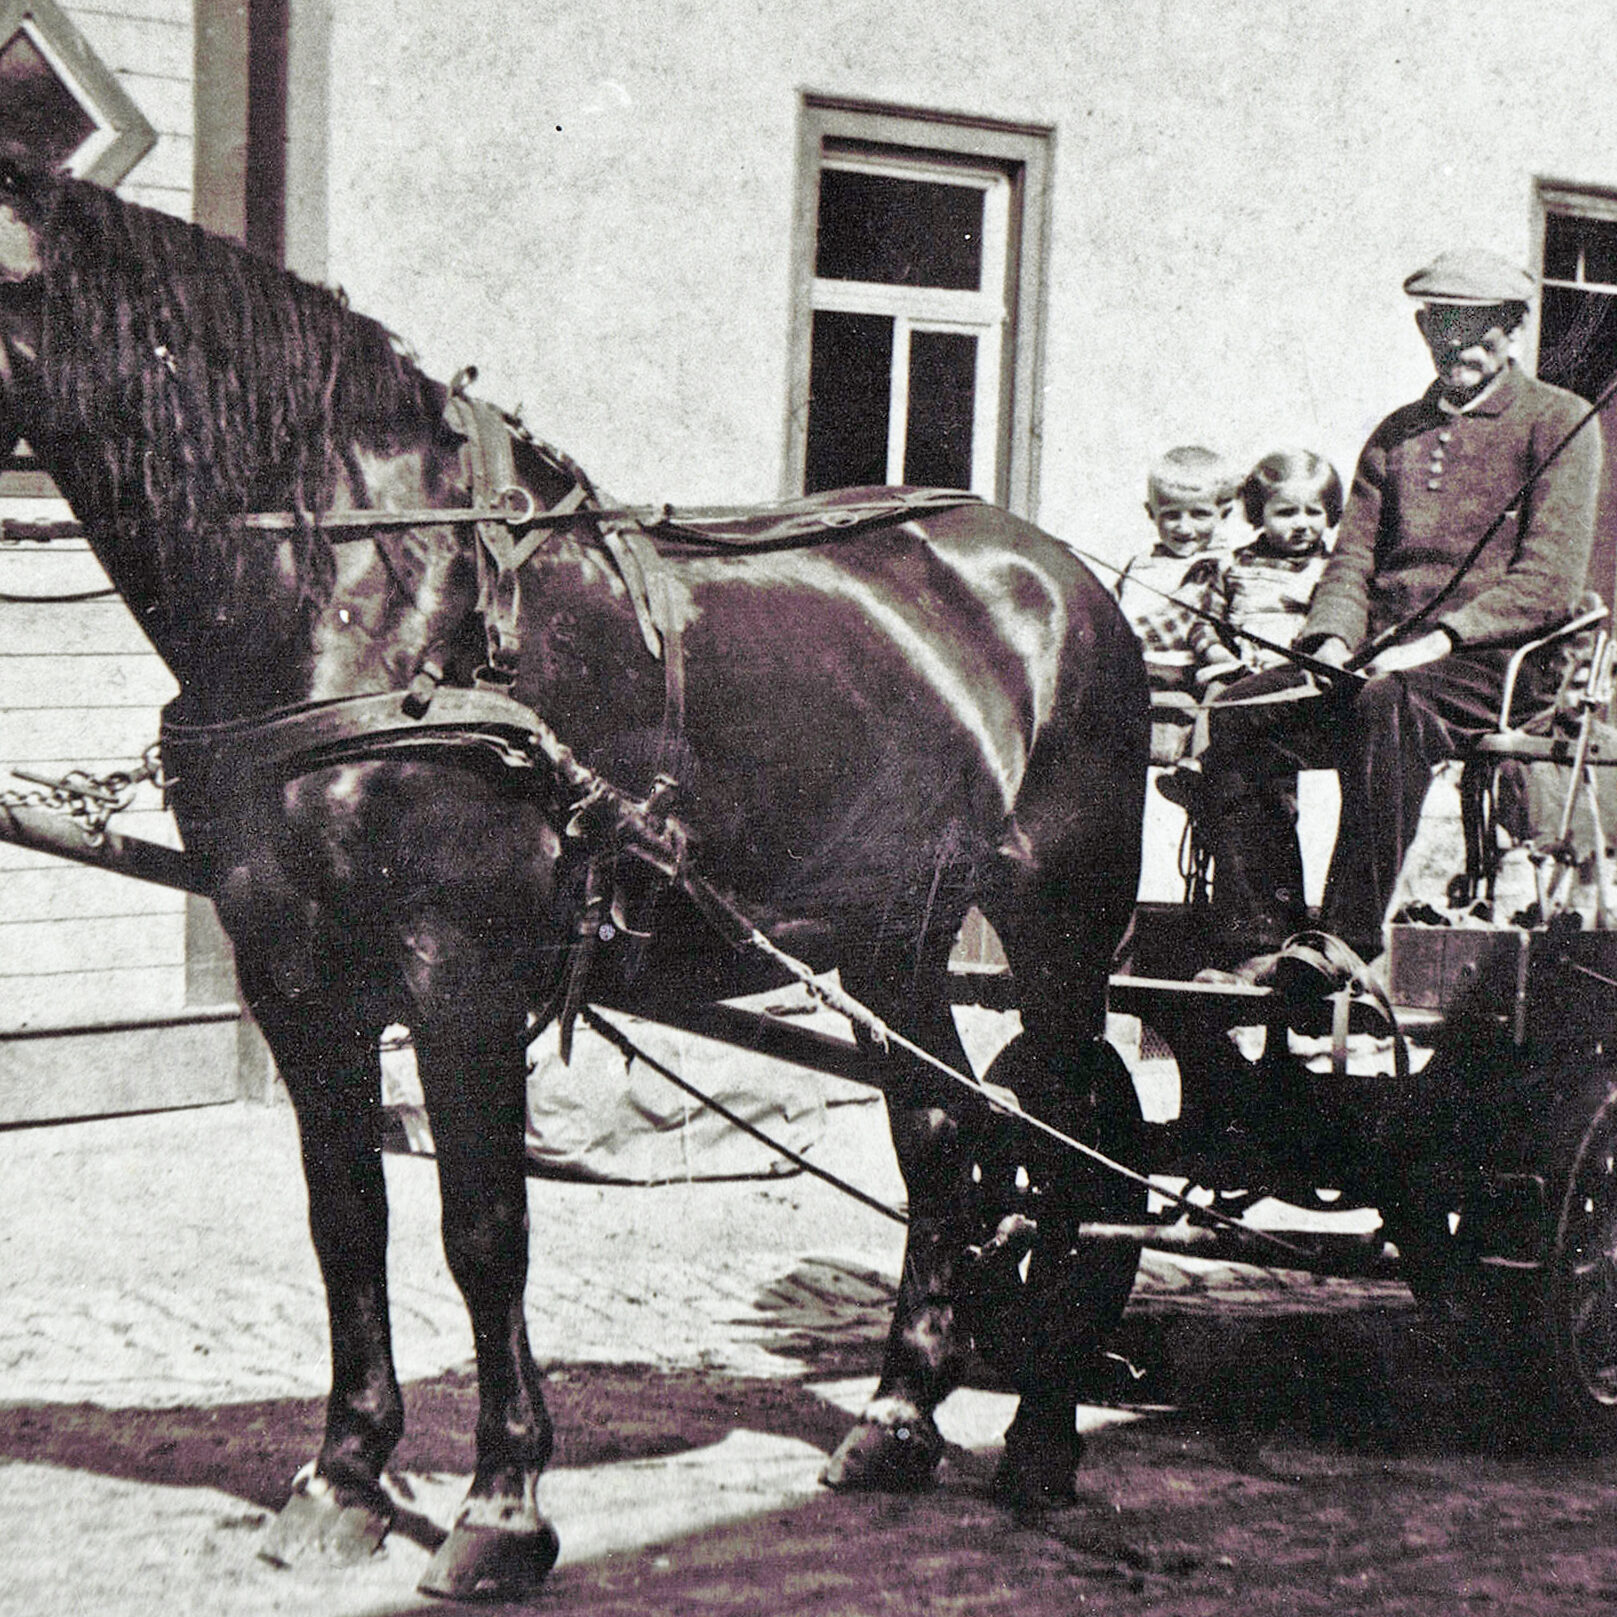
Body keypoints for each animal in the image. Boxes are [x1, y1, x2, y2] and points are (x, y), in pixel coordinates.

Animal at [0, 152, 1148, 1599]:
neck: (365, 598)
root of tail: (1058, 577)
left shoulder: (463, 977)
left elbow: (484, 1230)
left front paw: (501, 1506)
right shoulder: (296, 976)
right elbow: (346, 1222)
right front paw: (343, 1478)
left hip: (1061, 926)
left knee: (1072, 1167)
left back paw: (1045, 1438)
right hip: (892, 938)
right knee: (943, 1140)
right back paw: (895, 1419)